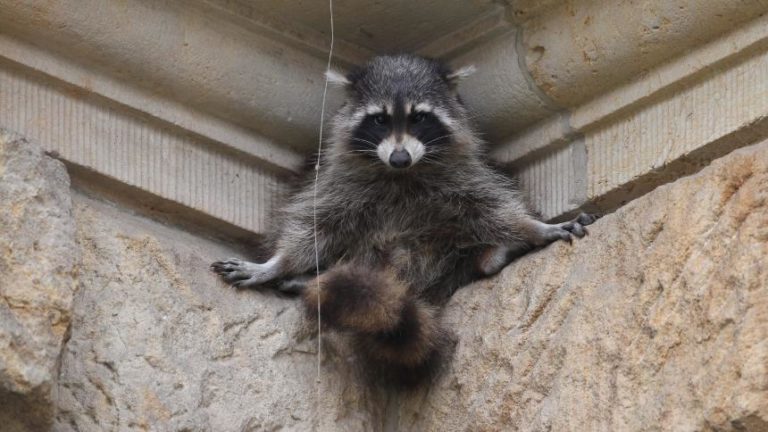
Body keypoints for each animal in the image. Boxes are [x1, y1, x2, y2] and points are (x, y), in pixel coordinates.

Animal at [211, 54, 598, 388]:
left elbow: (493, 208)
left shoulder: (461, 175)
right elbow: (314, 227)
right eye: (380, 119)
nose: (399, 158)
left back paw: (491, 256)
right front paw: (277, 263)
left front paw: (534, 229)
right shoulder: (339, 183)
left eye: (419, 118)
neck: (400, 175)